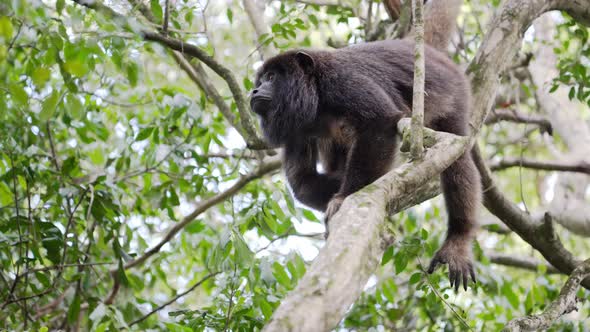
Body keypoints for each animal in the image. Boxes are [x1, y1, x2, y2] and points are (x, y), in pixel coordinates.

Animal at [250, 39, 480, 290]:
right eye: (260, 81)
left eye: (271, 77)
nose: (254, 90)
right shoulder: (296, 130)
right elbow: (303, 181)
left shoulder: (342, 80)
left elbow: (379, 121)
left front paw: (343, 197)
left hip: (455, 92)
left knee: (457, 157)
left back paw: (458, 240)